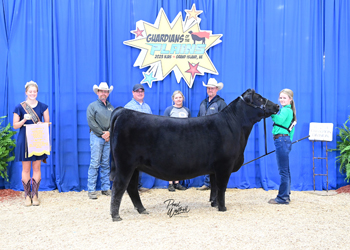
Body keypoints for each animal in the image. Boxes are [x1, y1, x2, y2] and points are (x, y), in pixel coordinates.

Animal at [109, 89, 278, 221]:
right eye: (260, 98)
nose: (277, 106)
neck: (235, 126)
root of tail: (123, 111)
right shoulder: (225, 165)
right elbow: (222, 187)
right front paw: (222, 208)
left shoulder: (215, 168)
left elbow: (214, 186)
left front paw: (214, 204)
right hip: (125, 163)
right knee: (119, 186)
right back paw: (115, 216)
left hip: (135, 166)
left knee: (131, 188)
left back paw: (142, 210)